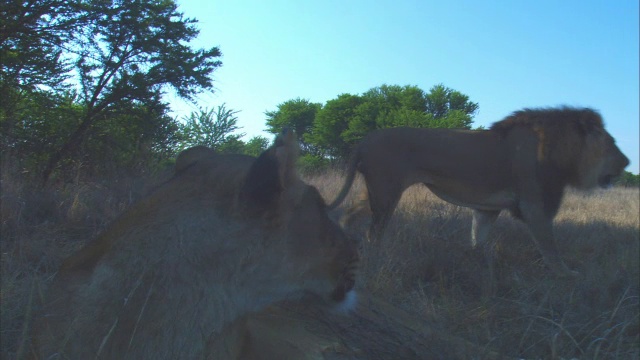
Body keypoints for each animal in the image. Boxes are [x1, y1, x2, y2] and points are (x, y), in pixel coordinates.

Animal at [330, 107, 632, 276]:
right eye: (612, 142)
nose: (628, 162)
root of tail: (365, 139)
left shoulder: (488, 209)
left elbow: (479, 239)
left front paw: (478, 263)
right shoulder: (535, 205)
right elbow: (550, 248)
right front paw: (567, 275)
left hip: (374, 191)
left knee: (349, 216)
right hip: (387, 191)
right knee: (374, 233)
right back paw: (375, 260)